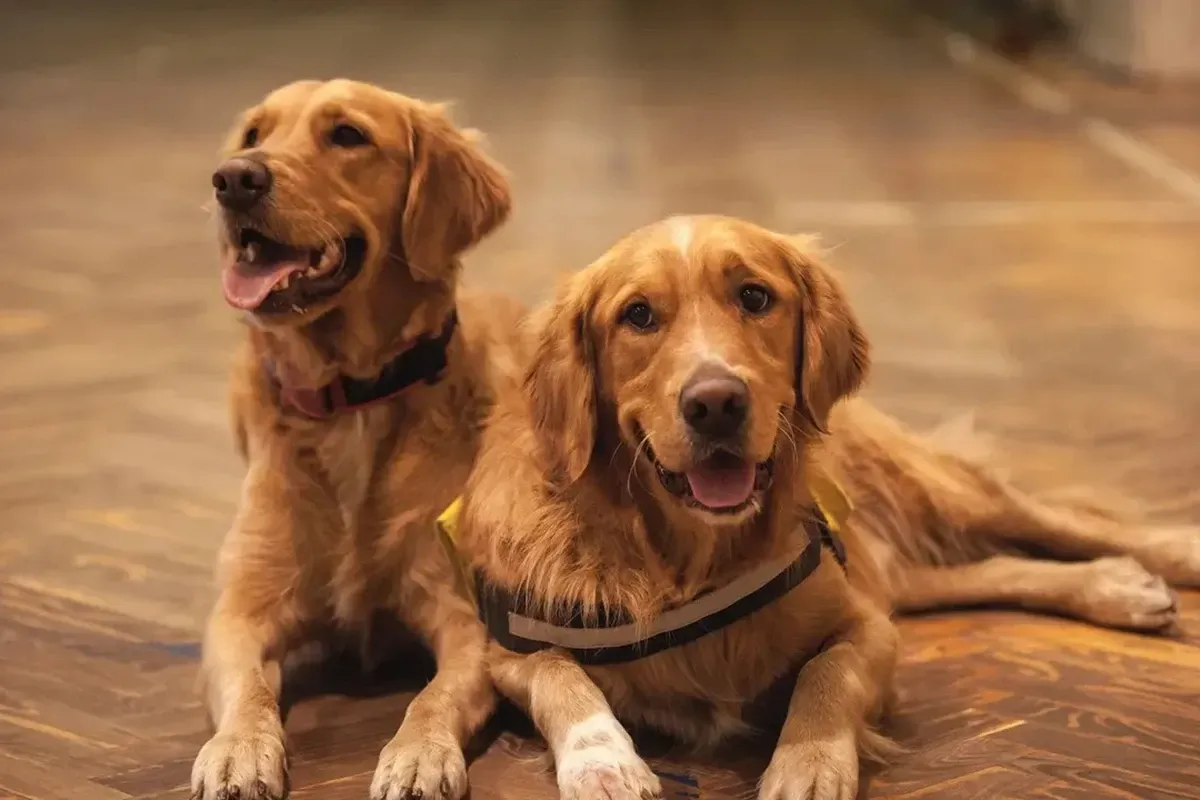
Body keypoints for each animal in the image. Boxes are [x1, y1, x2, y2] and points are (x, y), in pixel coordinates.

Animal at [189, 79, 518, 800]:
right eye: (254, 134)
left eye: (347, 135)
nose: (234, 179)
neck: (350, 399)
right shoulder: (239, 613)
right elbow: (248, 689)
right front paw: (236, 750)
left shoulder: (465, 618)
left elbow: (432, 697)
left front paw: (418, 755)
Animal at [451, 214, 1200, 800]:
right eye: (638, 315)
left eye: (754, 296)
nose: (716, 402)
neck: (686, 560)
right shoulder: (509, 647)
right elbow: (562, 679)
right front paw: (602, 764)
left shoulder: (865, 624)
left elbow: (824, 672)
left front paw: (808, 765)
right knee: (989, 569)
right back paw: (1117, 586)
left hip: (937, 489)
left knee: (1057, 522)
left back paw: (1149, 568)